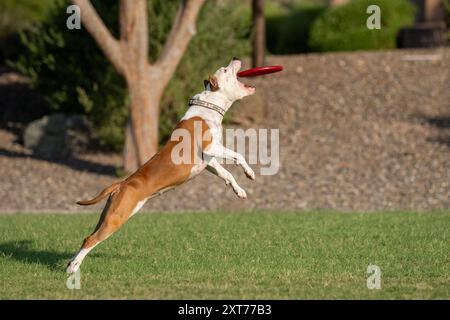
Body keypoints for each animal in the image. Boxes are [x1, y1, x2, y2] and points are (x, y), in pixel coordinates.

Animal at [67, 57, 256, 272]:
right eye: (224, 69)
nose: (235, 58)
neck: (209, 105)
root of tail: (121, 184)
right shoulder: (211, 148)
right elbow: (238, 155)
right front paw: (250, 172)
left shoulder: (209, 161)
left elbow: (227, 174)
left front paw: (239, 190)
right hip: (117, 218)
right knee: (90, 240)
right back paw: (73, 268)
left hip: (107, 216)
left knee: (87, 237)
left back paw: (71, 263)